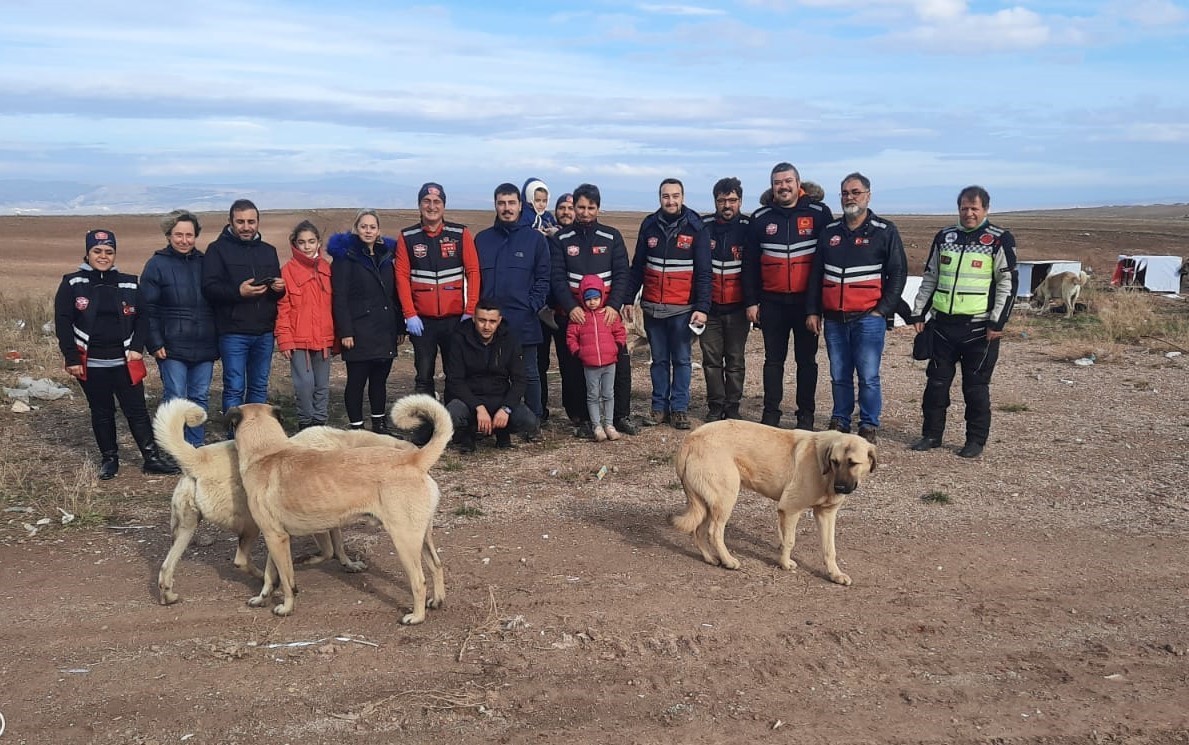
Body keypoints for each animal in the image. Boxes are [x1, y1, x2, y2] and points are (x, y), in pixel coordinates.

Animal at [153, 401, 416, 605]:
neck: (345, 444)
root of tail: (199, 459)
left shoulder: (330, 516)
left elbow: (338, 547)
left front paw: (348, 564)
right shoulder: (316, 522)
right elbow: (329, 549)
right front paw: (307, 562)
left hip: (186, 529)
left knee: (166, 567)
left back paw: (169, 596)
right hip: (252, 524)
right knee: (240, 560)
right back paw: (268, 579)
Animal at [230, 394, 449, 627]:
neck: (267, 453)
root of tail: (413, 459)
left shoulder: (275, 537)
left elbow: (287, 581)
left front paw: (286, 607)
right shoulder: (276, 537)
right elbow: (270, 575)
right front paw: (261, 598)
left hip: (404, 541)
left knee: (419, 581)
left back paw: (416, 617)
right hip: (422, 536)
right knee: (436, 565)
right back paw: (437, 601)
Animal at [675, 420, 879, 582]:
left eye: (853, 463)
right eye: (835, 461)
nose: (840, 488)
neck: (823, 467)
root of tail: (691, 439)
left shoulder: (826, 514)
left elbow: (829, 548)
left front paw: (835, 574)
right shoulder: (790, 509)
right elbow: (790, 541)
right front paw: (785, 564)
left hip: (708, 504)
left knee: (698, 531)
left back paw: (710, 559)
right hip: (725, 499)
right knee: (714, 532)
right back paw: (728, 560)